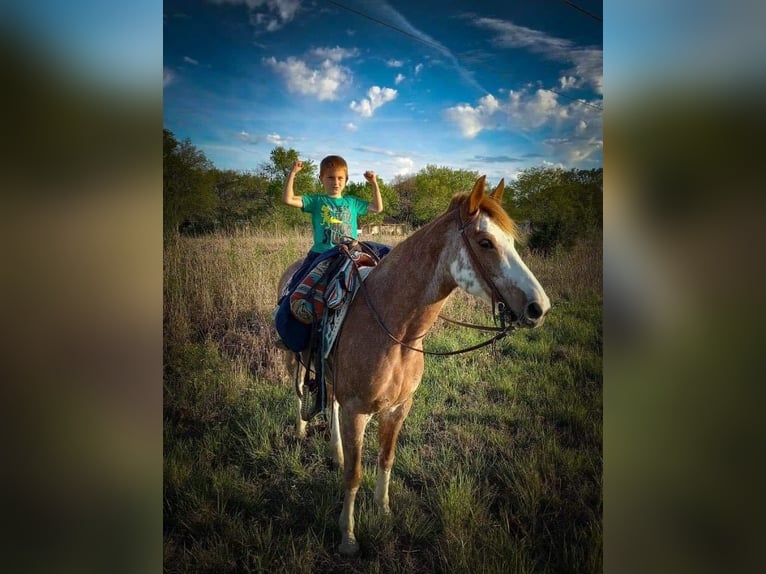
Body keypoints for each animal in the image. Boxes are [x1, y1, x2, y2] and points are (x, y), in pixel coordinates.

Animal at [278, 177, 552, 560]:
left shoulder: (398, 408)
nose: (539, 307)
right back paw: (302, 430)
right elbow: (354, 475)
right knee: (300, 390)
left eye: (512, 241)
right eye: (485, 242)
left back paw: (334, 450)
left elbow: (386, 459)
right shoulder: (356, 411)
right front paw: (348, 537)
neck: (392, 327)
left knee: (329, 402)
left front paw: (383, 511)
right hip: (295, 359)